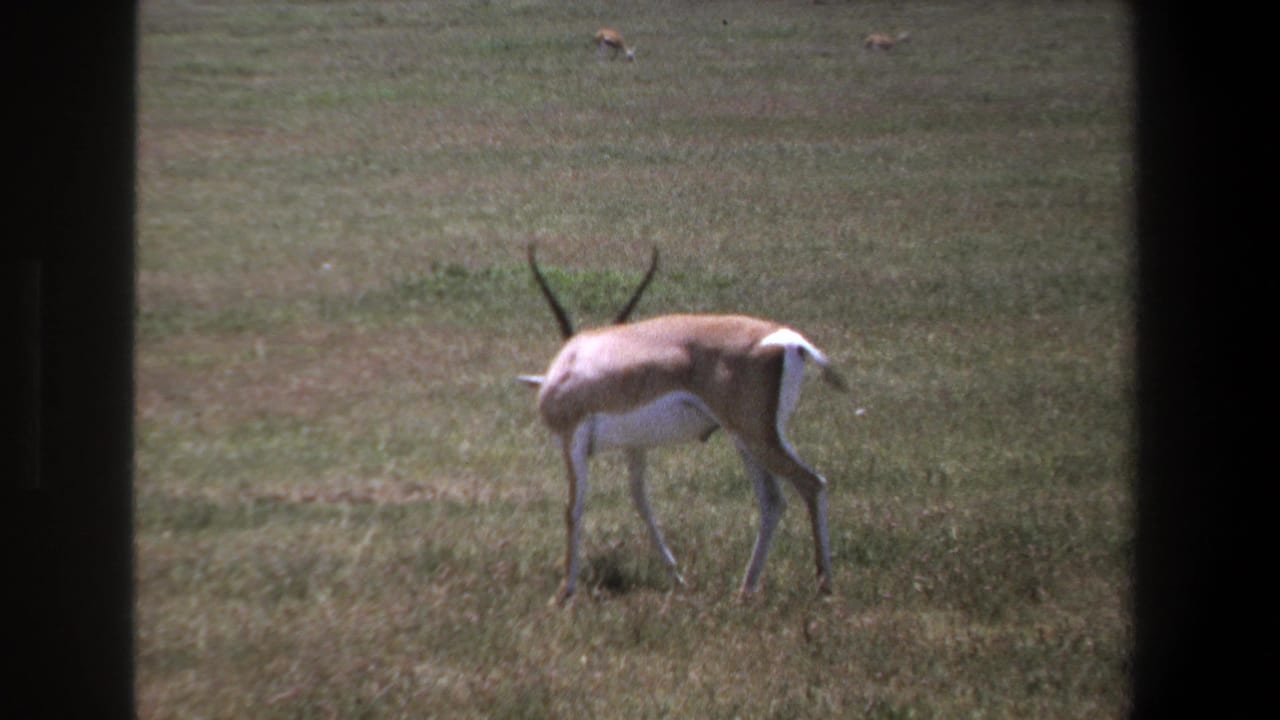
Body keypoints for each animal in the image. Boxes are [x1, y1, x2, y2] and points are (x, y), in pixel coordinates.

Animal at [520, 244, 847, 604]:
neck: (572, 362)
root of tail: (790, 341)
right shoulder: (636, 446)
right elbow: (642, 503)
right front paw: (677, 577)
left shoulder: (572, 439)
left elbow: (573, 509)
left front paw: (565, 591)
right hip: (750, 438)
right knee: (773, 501)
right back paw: (745, 589)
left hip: (756, 436)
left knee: (811, 483)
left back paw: (824, 584)